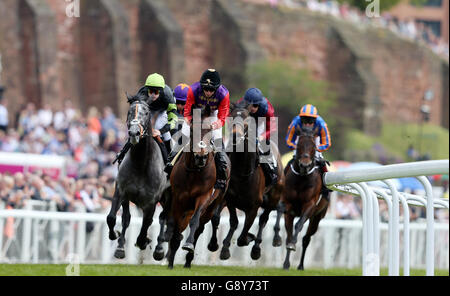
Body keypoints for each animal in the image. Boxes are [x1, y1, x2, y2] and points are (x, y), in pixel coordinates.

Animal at [165, 106, 230, 268]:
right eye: (192, 130)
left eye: (210, 131)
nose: (201, 157)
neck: (194, 171)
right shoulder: (178, 198)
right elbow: (175, 226)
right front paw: (170, 260)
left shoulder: (204, 196)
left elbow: (194, 221)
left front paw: (188, 245)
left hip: (213, 204)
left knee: (200, 228)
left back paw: (189, 259)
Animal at [284, 126, 328, 270]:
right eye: (298, 145)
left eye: (314, 146)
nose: (305, 165)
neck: (301, 179)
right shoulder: (288, 206)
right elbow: (289, 233)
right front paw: (286, 263)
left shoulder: (310, 205)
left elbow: (298, 225)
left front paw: (293, 244)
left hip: (317, 218)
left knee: (306, 239)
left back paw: (301, 265)